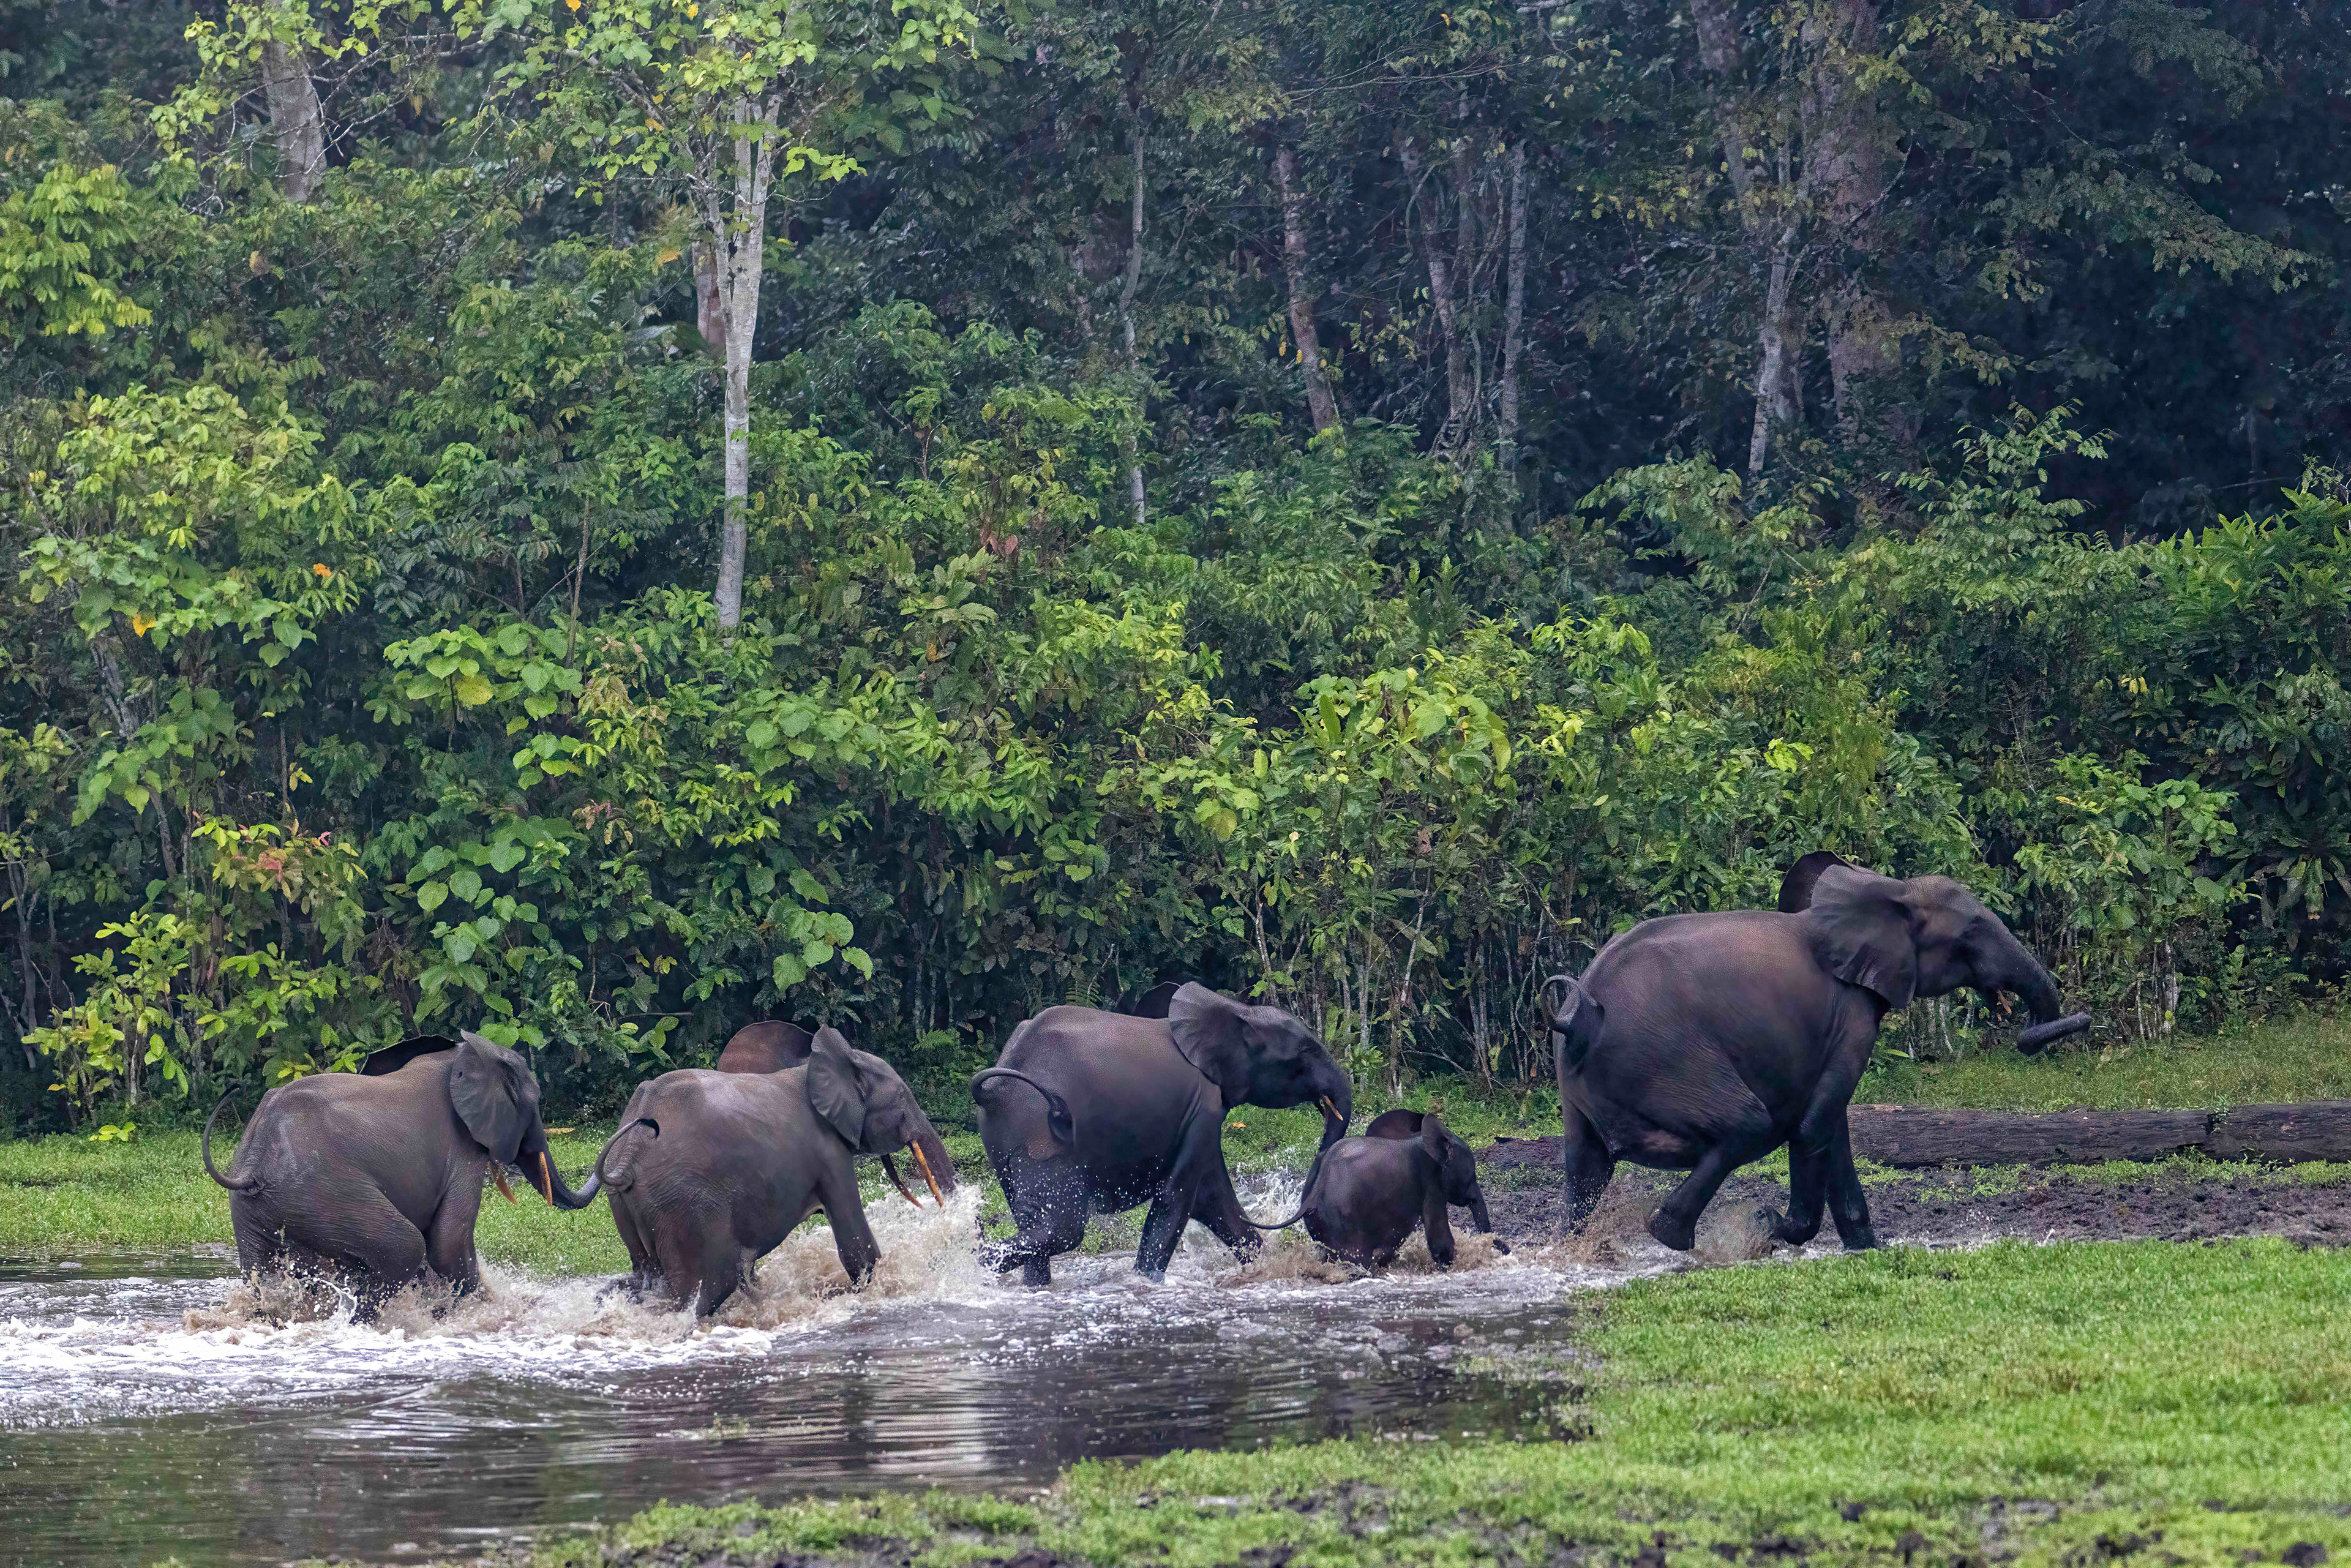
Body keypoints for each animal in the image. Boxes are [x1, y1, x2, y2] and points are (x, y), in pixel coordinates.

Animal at [201, 1031, 602, 1310]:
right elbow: (447, 1246)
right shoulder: (462, 1151)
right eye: (536, 1103)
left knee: (264, 1276)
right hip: (324, 1194)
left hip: (255, 1209)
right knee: (405, 1246)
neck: (466, 1052)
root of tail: (255, 1165)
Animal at [594, 1025, 957, 1316]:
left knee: (647, 1278)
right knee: (709, 1283)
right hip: (686, 1201)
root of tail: (628, 1155)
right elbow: (857, 1247)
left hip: (630, 1203)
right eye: (903, 1099)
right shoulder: (829, 1153)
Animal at [970, 982, 1353, 1285]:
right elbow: (1176, 1197)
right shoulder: (1203, 1107)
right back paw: (974, 1263)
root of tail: (993, 1091)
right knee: (1064, 1228)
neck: (1235, 1009)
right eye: (1304, 1054)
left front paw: (1266, 1267)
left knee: (1035, 1221)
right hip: (1040, 1134)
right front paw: (1147, 1283)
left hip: (1006, 1141)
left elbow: (1211, 1198)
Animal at [1298, 1109, 1505, 1269]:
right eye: (1471, 1175)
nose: (1506, 1251)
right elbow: (1439, 1238)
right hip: (1341, 1219)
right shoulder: (1431, 1183)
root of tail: (1314, 1194)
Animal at [1545, 851, 2090, 1254]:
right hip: (1663, 1060)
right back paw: (1672, 1236)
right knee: (1749, 1126)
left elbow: (1833, 1125)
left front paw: (1868, 1250)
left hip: (1582, 1083)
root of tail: (1581, 1014)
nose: (2034, 1031)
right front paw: (1768, 1225)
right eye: (1971, 932)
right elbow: (1813, 1124)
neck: (1891, 889)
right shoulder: (1851, 1013)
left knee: (1585, 1167)